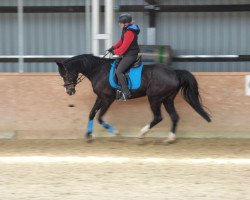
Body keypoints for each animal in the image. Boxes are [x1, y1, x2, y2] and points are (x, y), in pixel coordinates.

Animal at [57, 54, 211, 143]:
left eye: (66, 74)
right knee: (174, 116)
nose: (69, 91)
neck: (98, 70)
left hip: (155, 98)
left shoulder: (107, 98)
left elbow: (100, 117)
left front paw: (116, 133)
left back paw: (141, 134)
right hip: (167, 99)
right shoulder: (100, 97)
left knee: (158, 117)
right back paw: (170, 138)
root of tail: (174, 72)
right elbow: (92, 113)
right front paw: (88, 135)